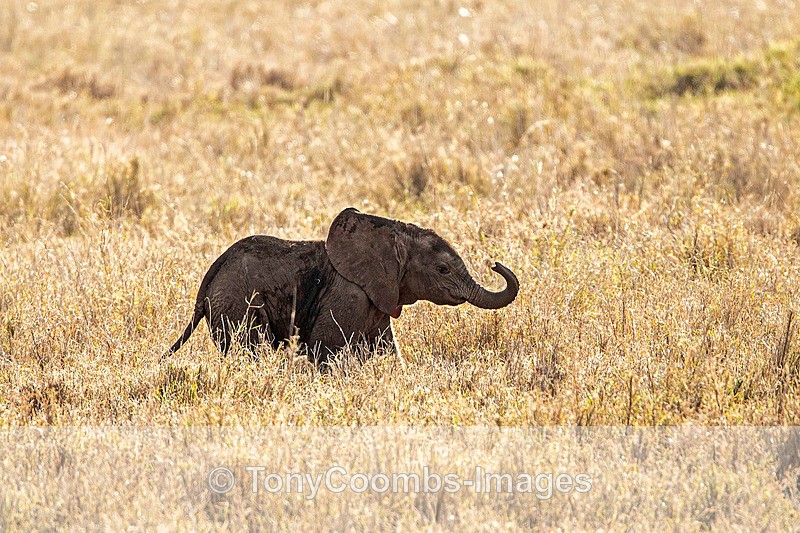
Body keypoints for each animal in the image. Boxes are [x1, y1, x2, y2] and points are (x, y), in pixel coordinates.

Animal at [164, 207, 519, 366]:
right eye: (443, 269)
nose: (495, 263)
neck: (390, 234)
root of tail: (213, 270)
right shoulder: (347, 297)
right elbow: (326, 353)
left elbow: (386, 351)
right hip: (236, 303)